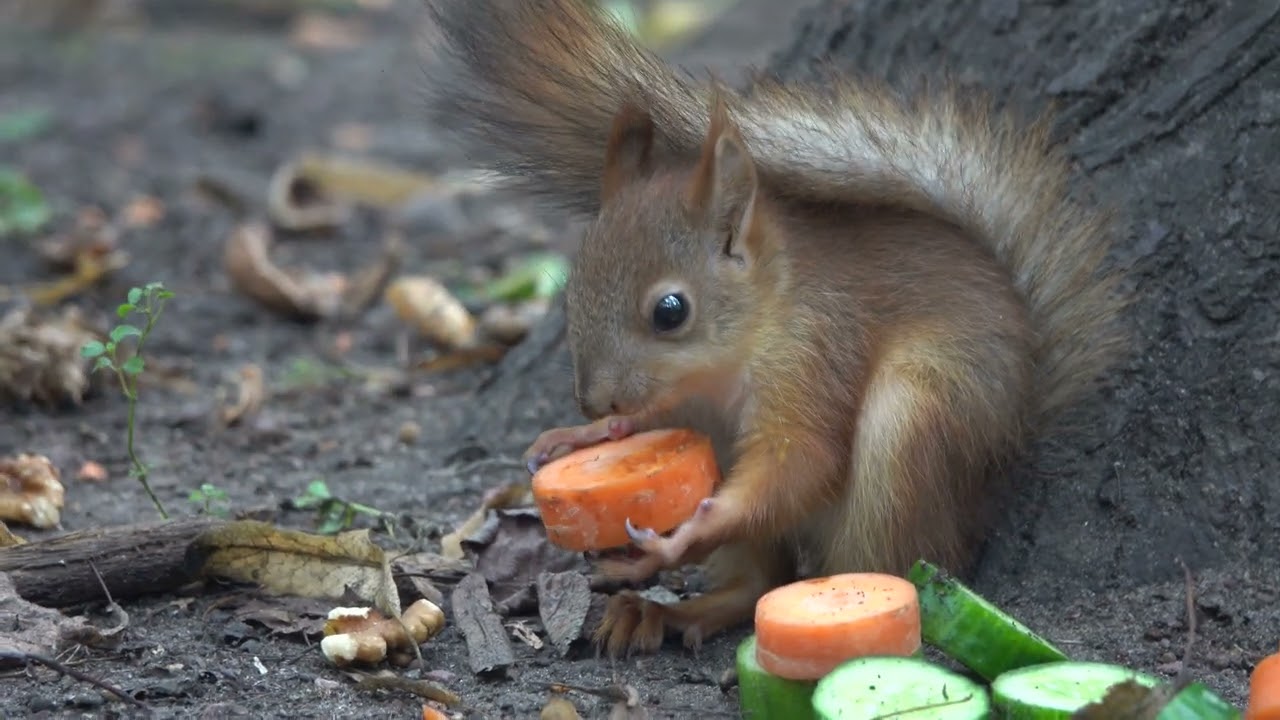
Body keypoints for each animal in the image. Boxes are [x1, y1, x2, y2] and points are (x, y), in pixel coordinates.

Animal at [417, 0, 1121, 655]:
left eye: (670, 311)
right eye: (573, 289)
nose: (594, 400)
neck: (733, 356)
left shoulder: (815, 355)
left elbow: (800, 460)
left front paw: (690, 532)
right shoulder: (691, 412)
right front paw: (590, 434)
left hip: (915, 426)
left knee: (876, 566)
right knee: (759, 581)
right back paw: (672, 611)